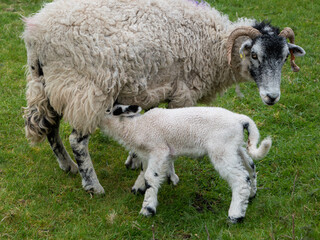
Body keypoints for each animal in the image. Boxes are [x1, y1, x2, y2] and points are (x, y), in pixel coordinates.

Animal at [23, 0, 304, 194]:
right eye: (254, 55)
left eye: (283, 58)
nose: (272, 97)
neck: (214, 45)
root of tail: (36, 32)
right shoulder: (183, 93)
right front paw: (168, 175)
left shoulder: (154, 89)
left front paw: (135, 161)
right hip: (86, 90)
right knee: (77, 140)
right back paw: (93, 185)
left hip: (49, 85)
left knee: (50, 128)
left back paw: (67, 166)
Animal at [101, 105, 272, 223]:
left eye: (108, 108)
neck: (135, 127)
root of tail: (241, 120)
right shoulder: (159, 154)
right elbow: (151, 170)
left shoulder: (159, 149)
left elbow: (151, 176)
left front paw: (147, 209)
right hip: (234, 147)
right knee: (250, 167)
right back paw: (251, 195)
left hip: (222, 149)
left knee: (240, 179)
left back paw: (235, 216)